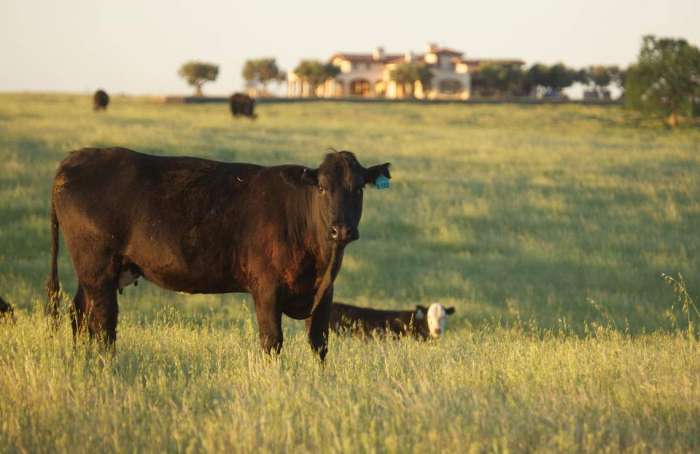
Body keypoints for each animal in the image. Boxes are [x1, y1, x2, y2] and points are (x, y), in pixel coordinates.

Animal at [46, 147, 392, 360]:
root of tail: (75, 159)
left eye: (359, 188)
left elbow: (319, 344)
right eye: (321, 188)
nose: (341, 230)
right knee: (103, 324)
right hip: (97, 267)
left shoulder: (324, 294)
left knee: (79, 314)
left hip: (96, 273)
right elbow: (272, 342)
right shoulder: (266, 289)